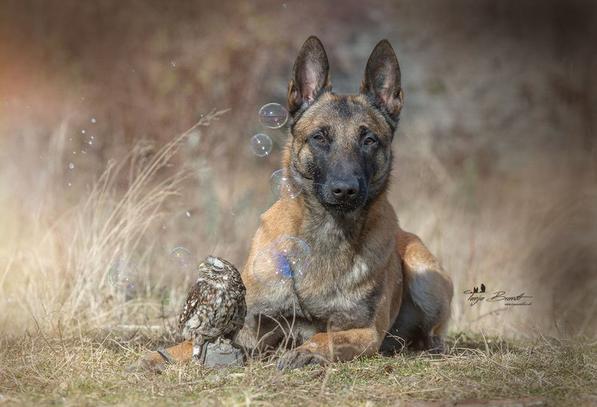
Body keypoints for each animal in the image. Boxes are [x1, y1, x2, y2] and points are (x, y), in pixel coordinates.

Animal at [136, 35, 452, 372]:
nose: (345, 190)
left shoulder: (365, 332)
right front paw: (162, 355)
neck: (326, 233)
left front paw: (305, 352)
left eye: (369, 140)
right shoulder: (250, 326)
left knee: (432, 332)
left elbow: (326, 337)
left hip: (424, 273)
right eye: (319, 137)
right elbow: (196, 342)